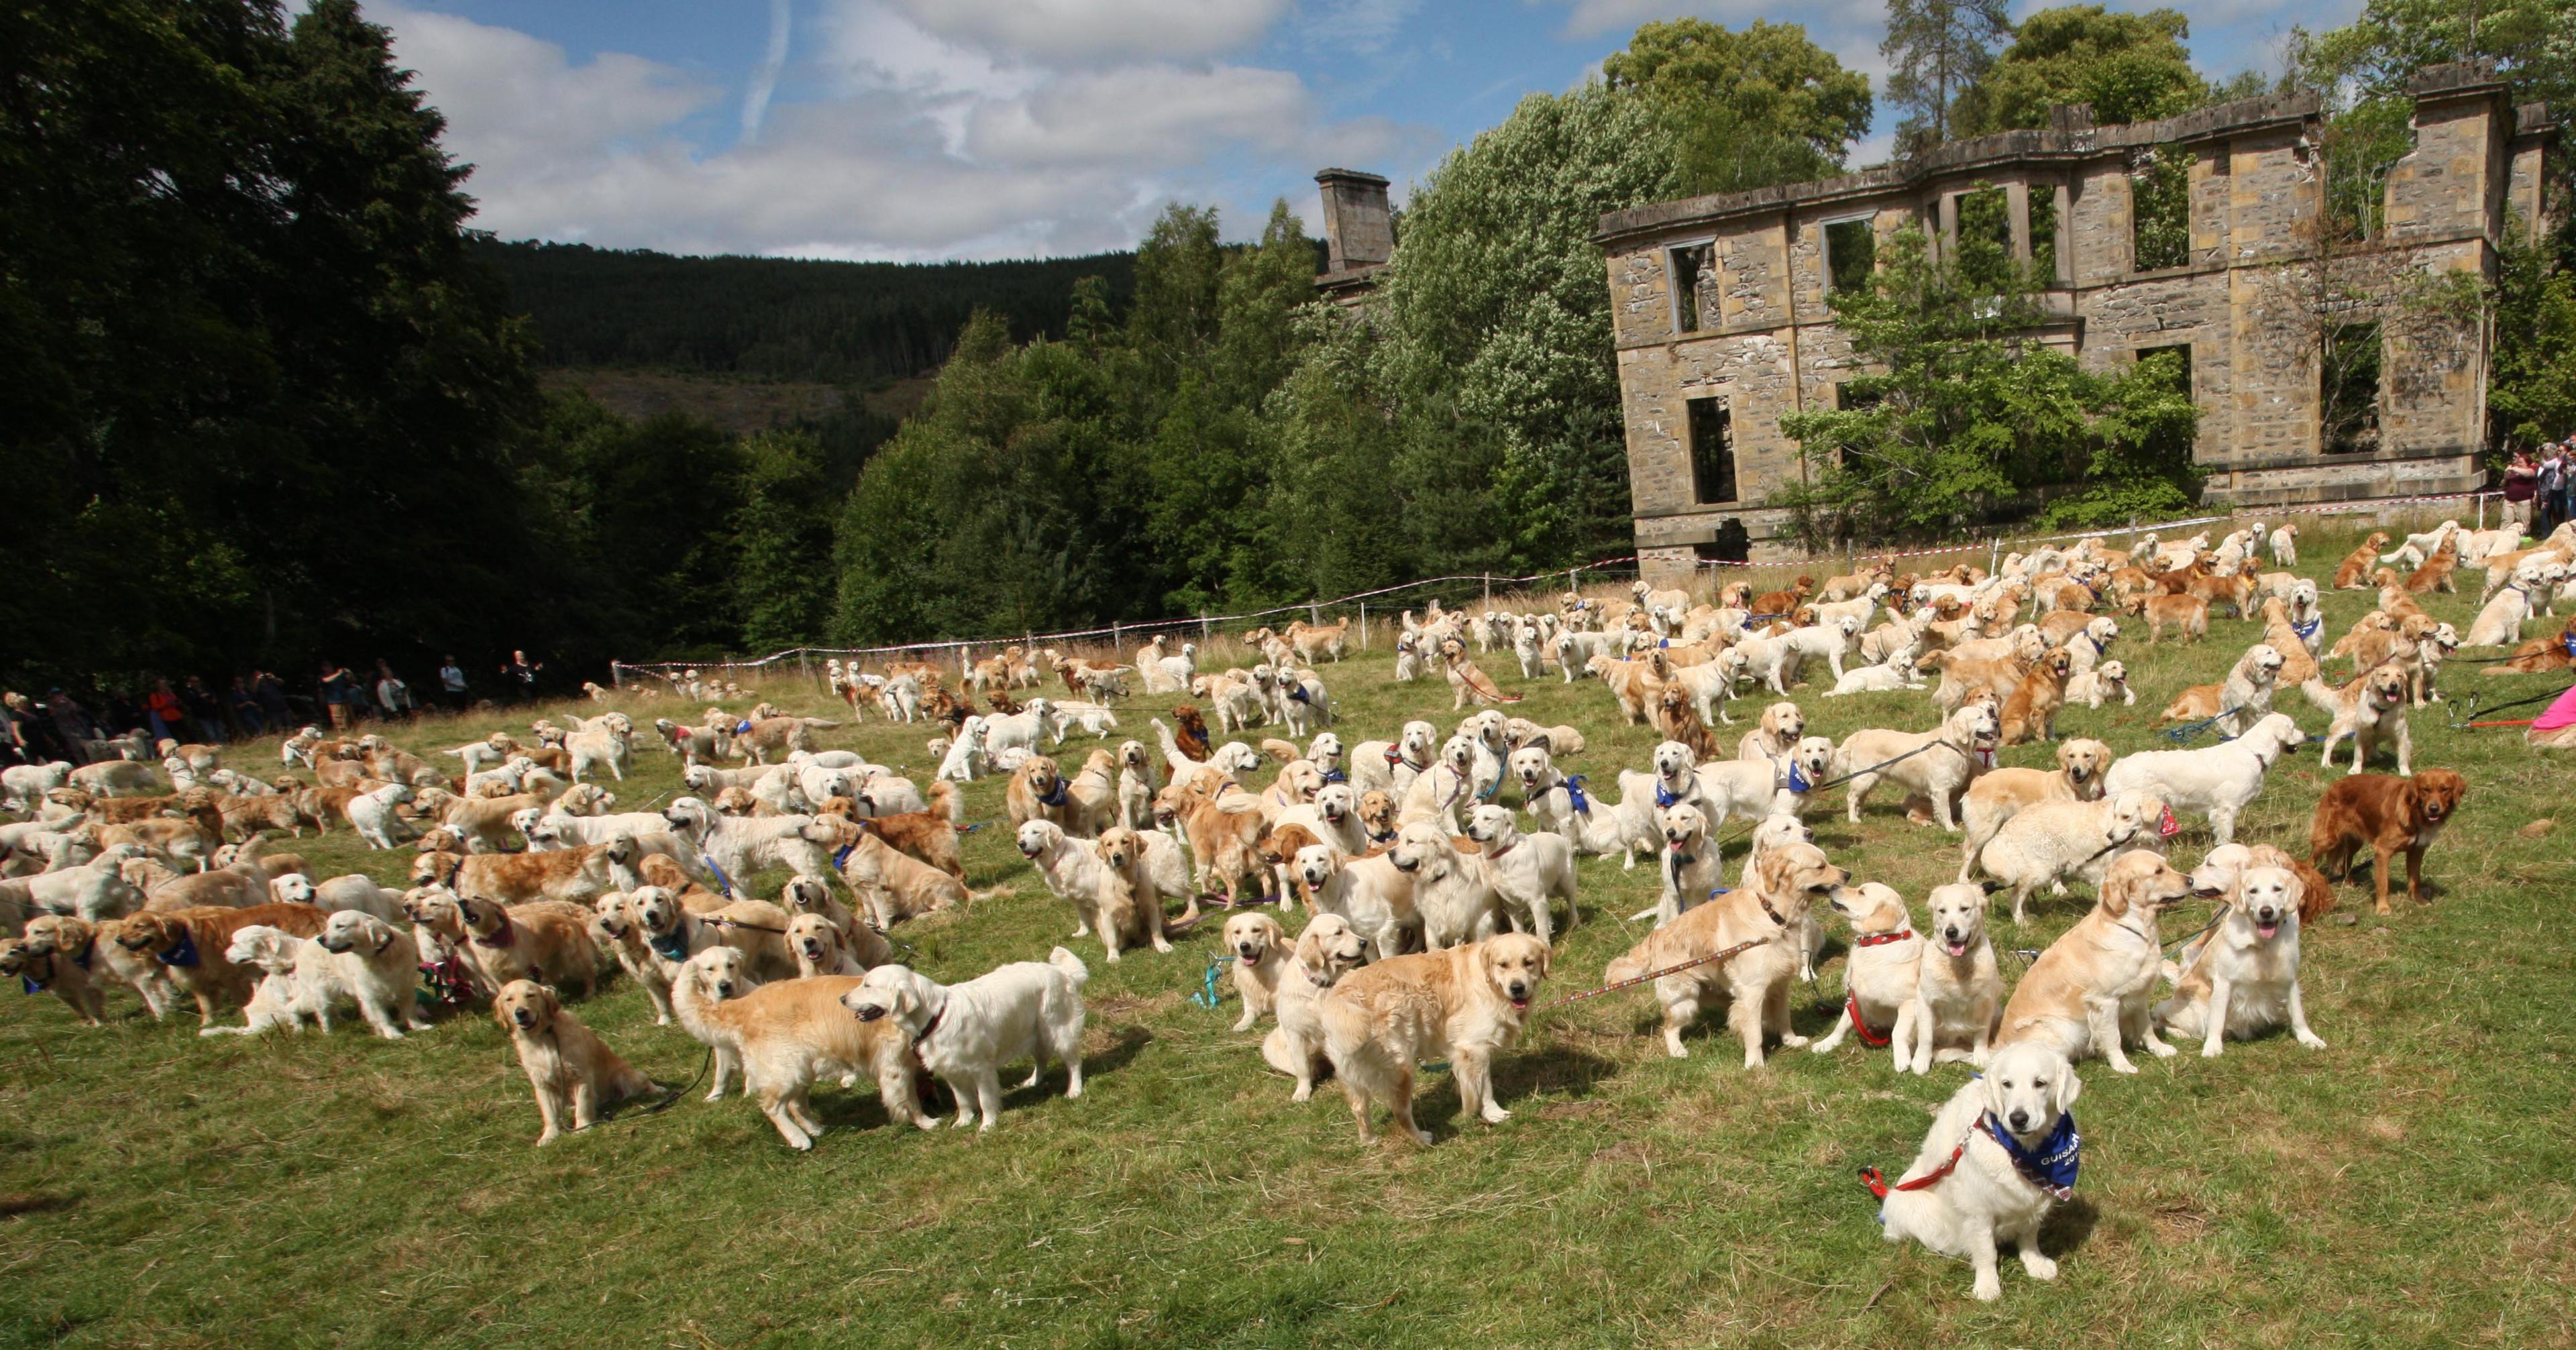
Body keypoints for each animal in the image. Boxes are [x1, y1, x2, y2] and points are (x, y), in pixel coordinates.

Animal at [1885, 1035, 2081, 1298]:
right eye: (2007, 1084)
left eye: (2040, 1083)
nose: (2018, 1119)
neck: (2021, 1152)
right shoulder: (1977, 1208)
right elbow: (1987, 1251)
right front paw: (1987, 1286)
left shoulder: (2033, 1200)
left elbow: (2029, 1236)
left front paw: (2035, 1263)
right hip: (1912, 1204)